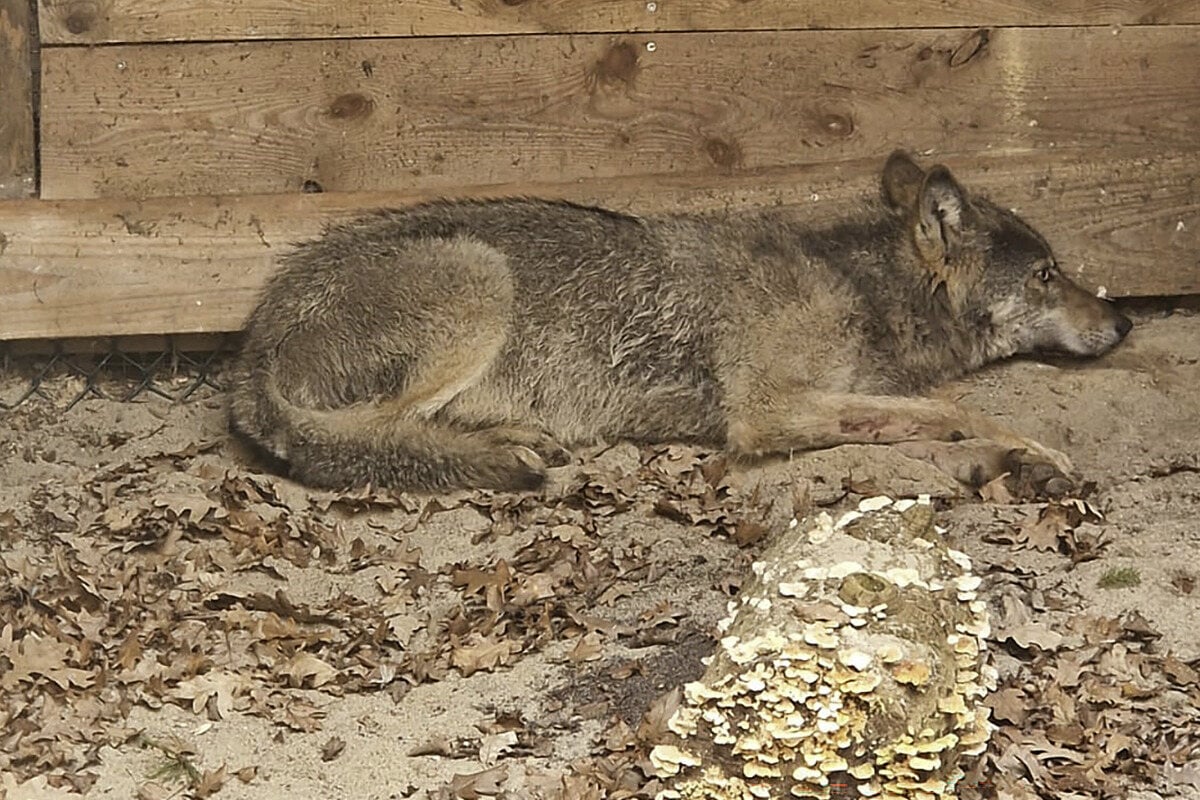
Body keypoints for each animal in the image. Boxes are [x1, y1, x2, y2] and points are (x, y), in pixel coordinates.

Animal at [227, 151, 1132, 493]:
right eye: (1048, 275)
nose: (1124, 321)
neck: (857, 287)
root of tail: (251, 347)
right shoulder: (764, 413)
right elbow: (956, 409)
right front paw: (1031, 453)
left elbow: (919, 419)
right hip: (479, 279)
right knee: (369, 437)